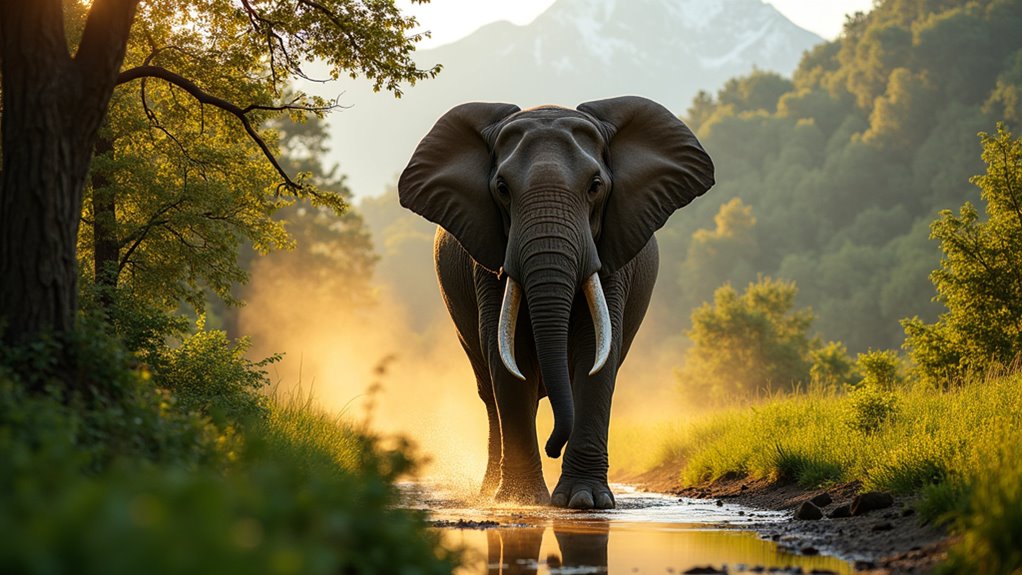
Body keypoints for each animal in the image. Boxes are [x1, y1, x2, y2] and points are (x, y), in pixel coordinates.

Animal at [398, 96, 714, 509]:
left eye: (595, 186)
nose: (552, 447)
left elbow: (596, 353)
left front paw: (584, 501)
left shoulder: (612, 254)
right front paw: (523, 501)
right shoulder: (488, 256)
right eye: (502, 188)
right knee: (490, 390)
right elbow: (509, 352)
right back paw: (491, 491)